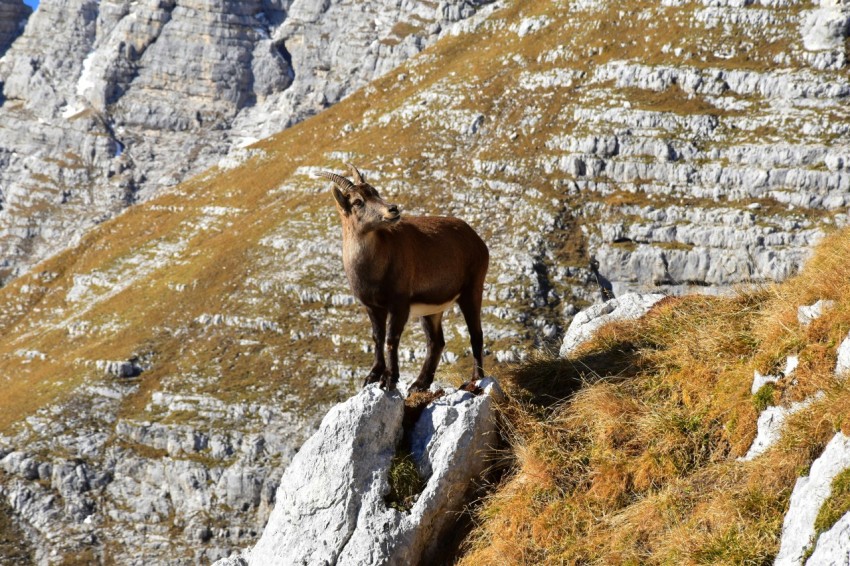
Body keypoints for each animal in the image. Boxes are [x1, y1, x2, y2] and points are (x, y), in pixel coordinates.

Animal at [319, 163, 489, 393]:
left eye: (375, 191)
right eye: (357, 201)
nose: (392, 209)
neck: (373, 266)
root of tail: (477, 239)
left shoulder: (399, 304)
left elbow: (392, 339)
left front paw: (389, 378)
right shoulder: (372, 306)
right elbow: (377, 337)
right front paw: (373, 375)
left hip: (472, 289)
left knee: (475, 333)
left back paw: (475, 379)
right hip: (431, 309)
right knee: (436, 342)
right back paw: (419, 384)